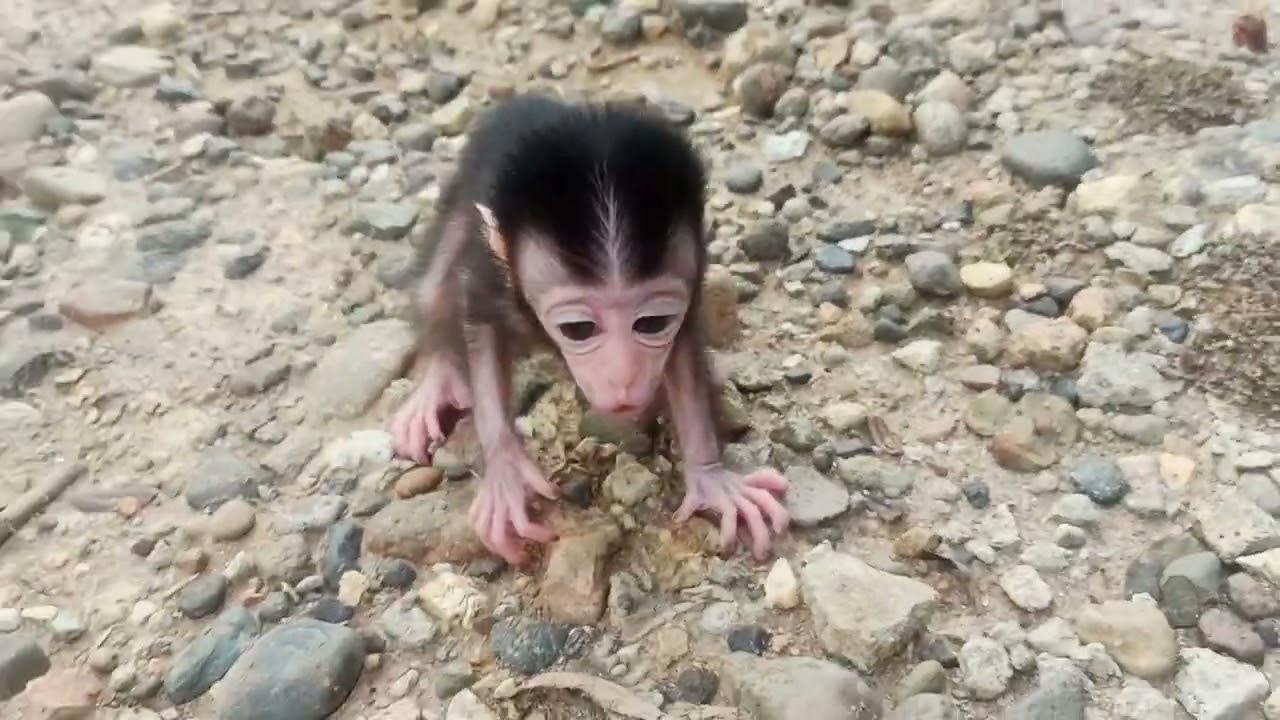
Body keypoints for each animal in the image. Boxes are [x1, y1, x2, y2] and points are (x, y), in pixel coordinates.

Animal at [389, 93, 790, 567]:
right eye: (579, 328)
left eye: (652, 323)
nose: (623, 378)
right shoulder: (490, 272)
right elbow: (480, 334)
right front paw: (505, 472)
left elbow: (684, 363)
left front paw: (712, 477)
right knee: (435, 290)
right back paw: (439, 380)